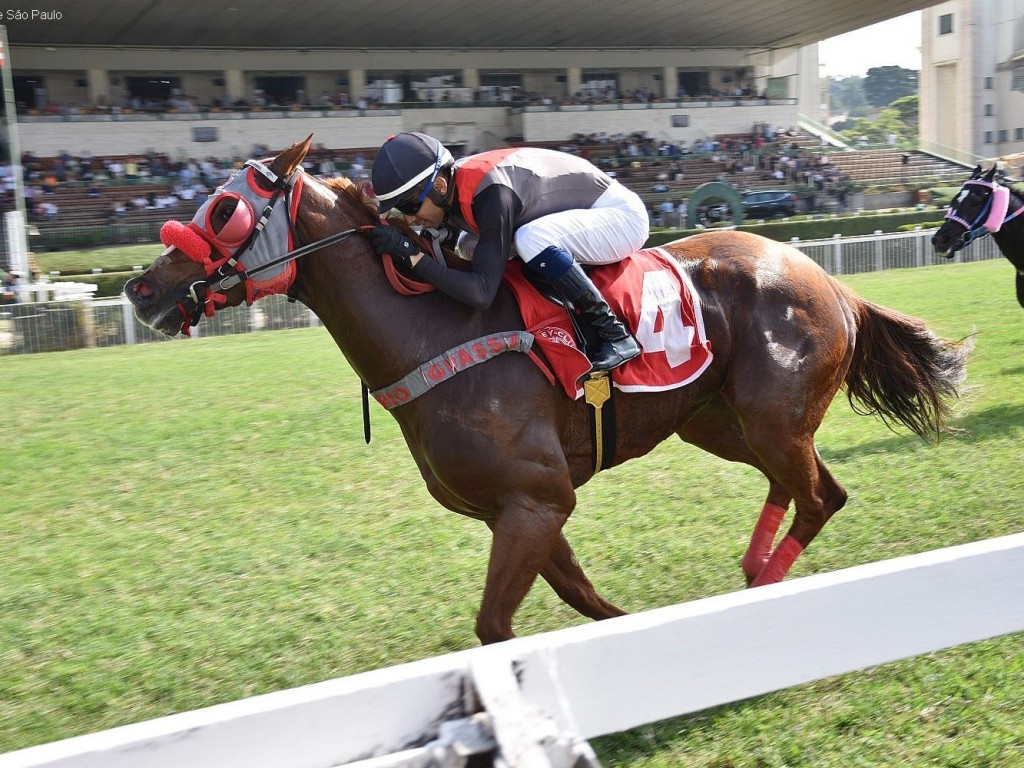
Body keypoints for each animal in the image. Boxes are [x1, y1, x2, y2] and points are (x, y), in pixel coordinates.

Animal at [123, 137, 962, 643]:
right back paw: (755, 570)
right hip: (719, 421)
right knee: (803, 489)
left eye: (223, 209)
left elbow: (496, 625)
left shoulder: (534, 499)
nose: (139, 287)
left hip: (771, 418)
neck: (434, 335)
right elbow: (584, 600)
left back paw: (763, 587)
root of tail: (826, 278)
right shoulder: (524, 507)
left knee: (821, 496)